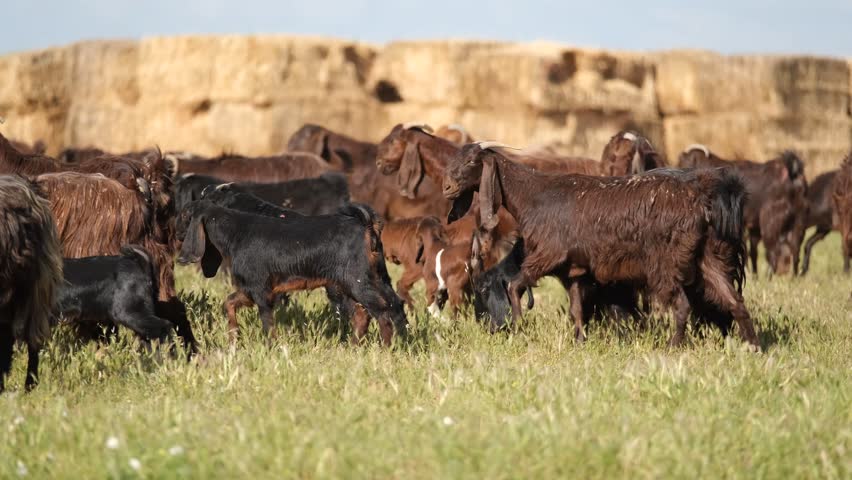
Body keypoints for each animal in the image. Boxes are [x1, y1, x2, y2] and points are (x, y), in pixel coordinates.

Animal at [176, 199, 406, 345]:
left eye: (185, 215)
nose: (174, 232)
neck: (235, 233)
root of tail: (367, 226)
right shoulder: (250, 289)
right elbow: (229, 303)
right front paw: (233, 338)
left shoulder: (261, 291)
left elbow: (267, 323)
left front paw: (271, 348)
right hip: (367, 280)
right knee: (377, 311)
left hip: (358, 282)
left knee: (382, 312)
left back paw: (385, 349)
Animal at [443, 143, 759, 349]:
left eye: (471, 162)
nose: (446, 187)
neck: (532, 196)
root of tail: (704, 199)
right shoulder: (573, 271)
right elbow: (576, 309)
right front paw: (579, 341)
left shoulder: (545, 257)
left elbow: (515, 286)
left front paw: (520, 328)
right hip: (708, 258)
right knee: (734, 300)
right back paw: (753, 347)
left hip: (665, 264)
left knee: (682, 305)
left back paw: (674, 346)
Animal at [679, 145, 808, 275]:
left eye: (684, 163)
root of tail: (793, 172)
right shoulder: (753, 228)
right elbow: (753, 252)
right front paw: (754, 274)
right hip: (798, 222)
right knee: (795, 250)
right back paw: (793, 276)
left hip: (771, 222)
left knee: (774, 251)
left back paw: (769, 275)